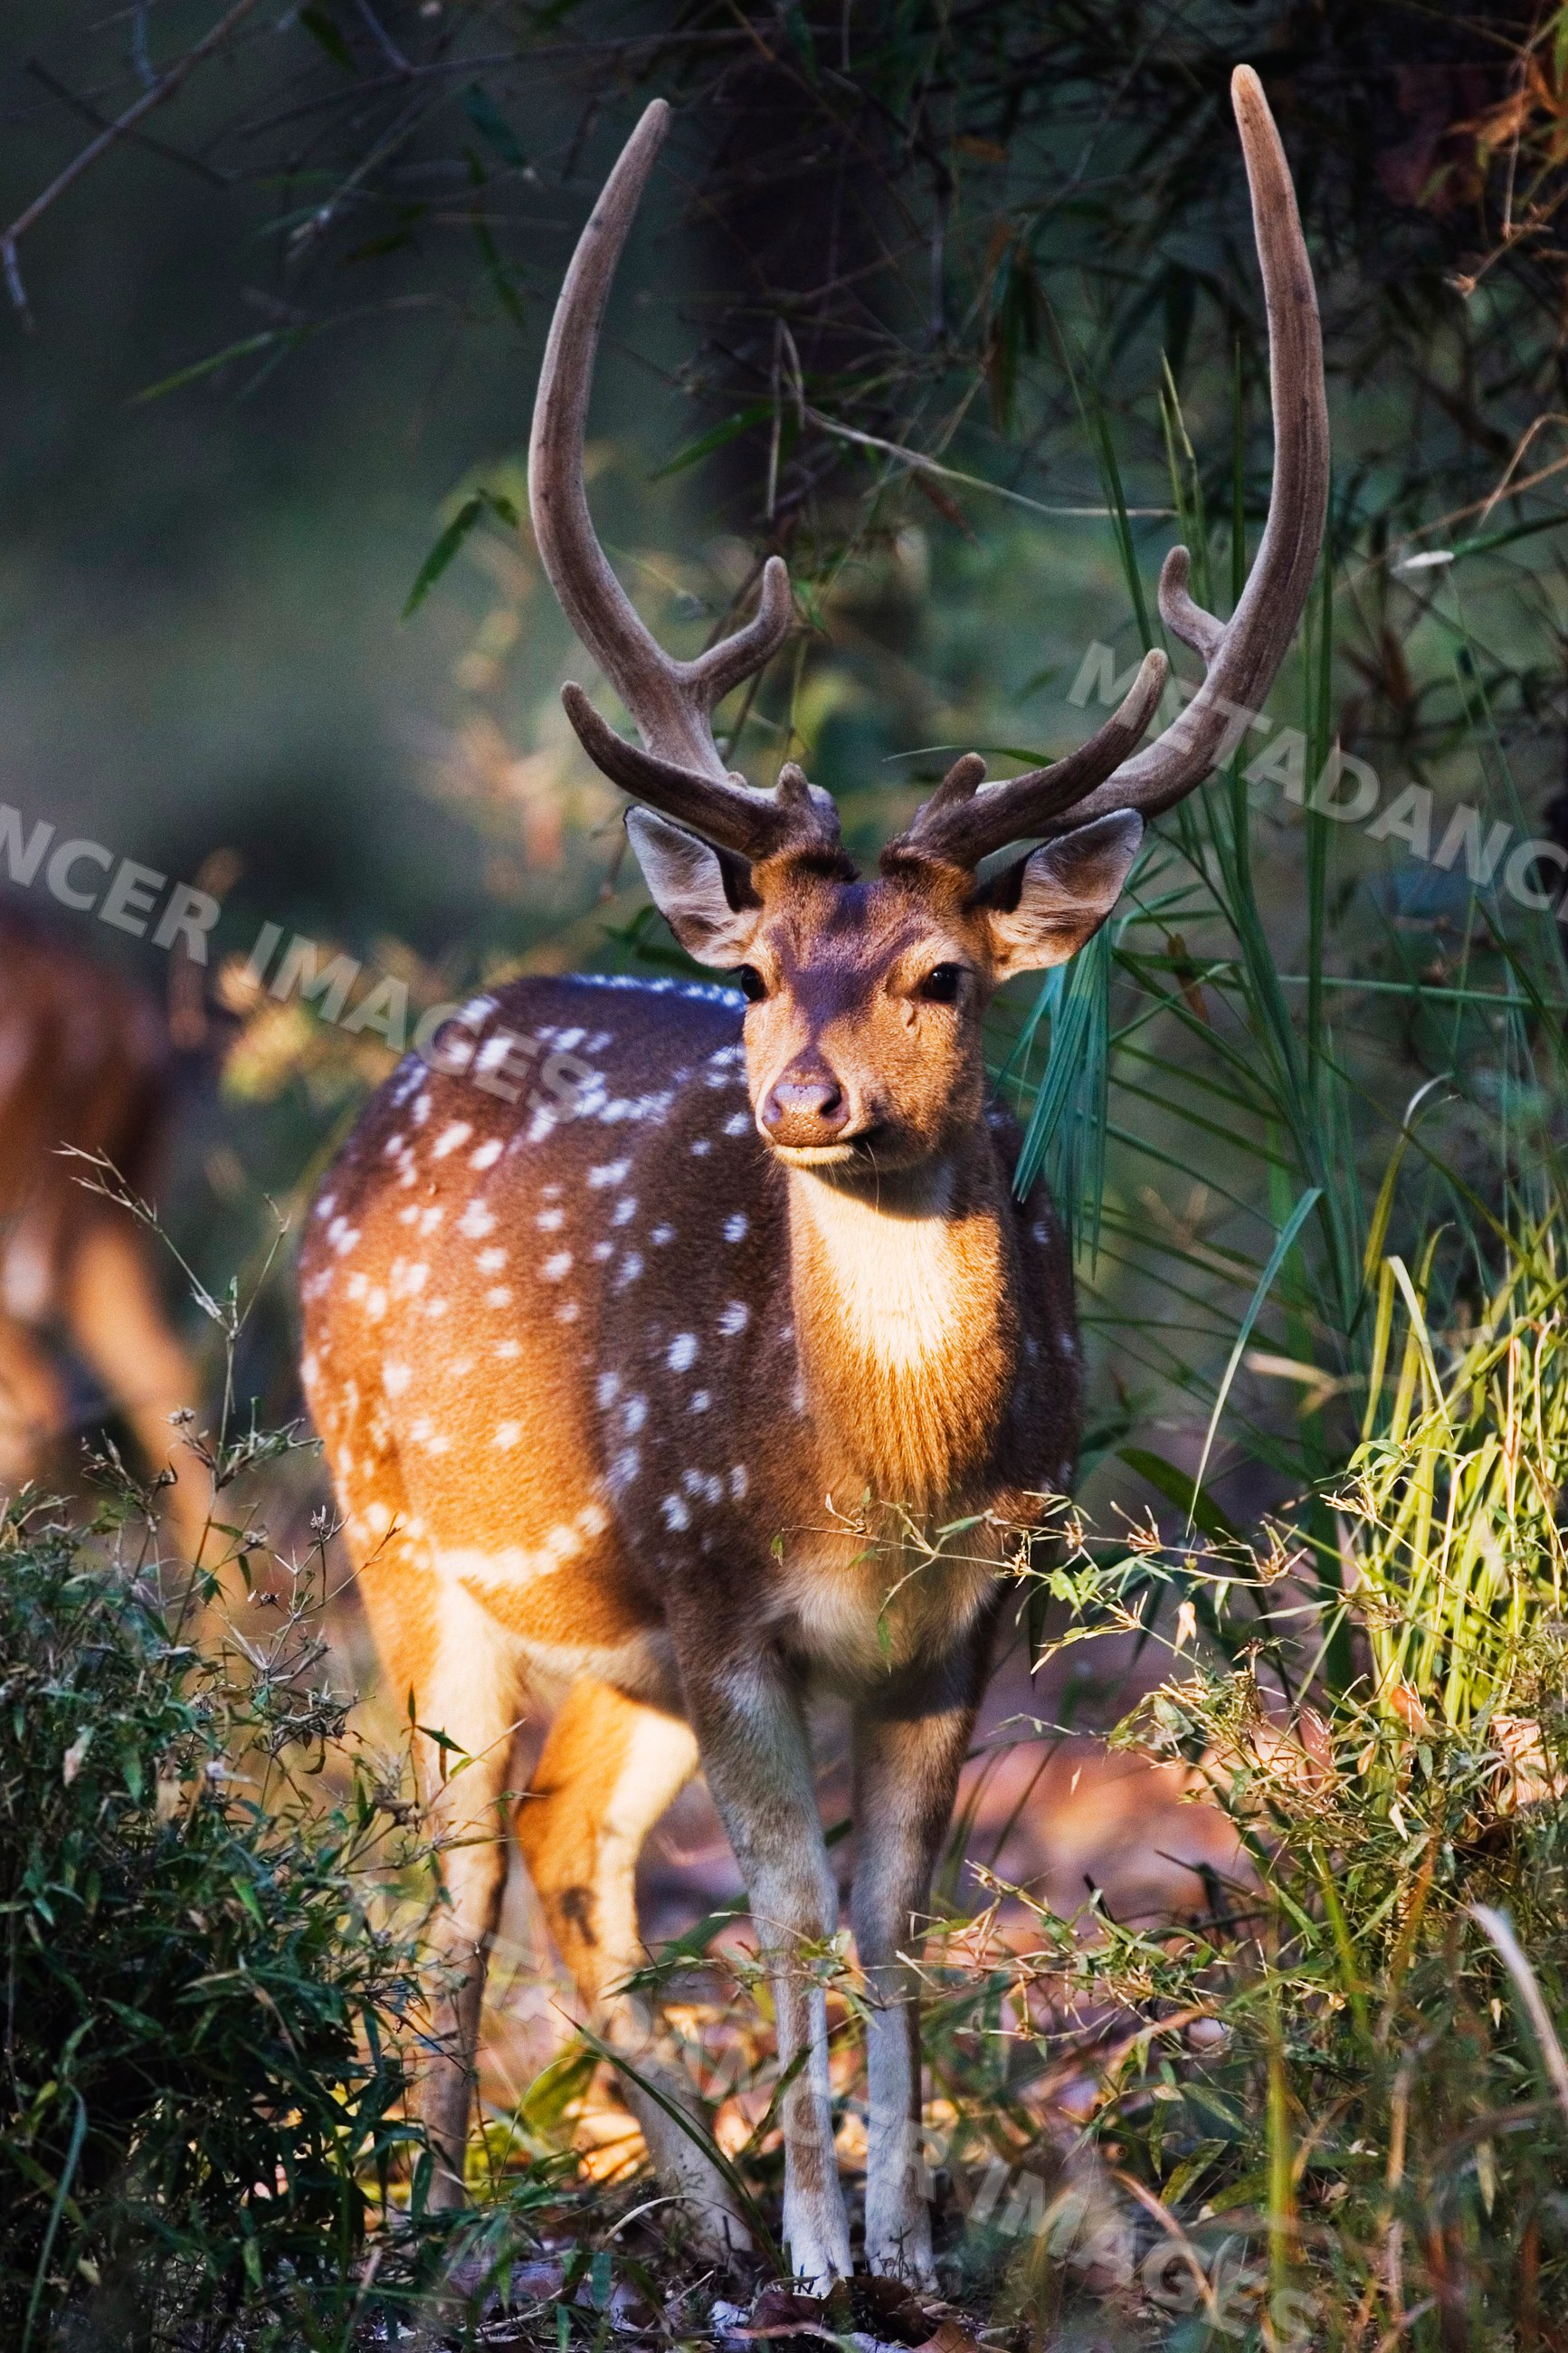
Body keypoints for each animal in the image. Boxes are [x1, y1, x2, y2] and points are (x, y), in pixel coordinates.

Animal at [298, 64, 1325, 2288]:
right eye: (762, 965)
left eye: (943, 972)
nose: (800, 1094)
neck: (874, 1482)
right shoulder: (715, 1595)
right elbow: (776, 1903)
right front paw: (825, 2245)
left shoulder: (968, 1614)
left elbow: (886, 1906)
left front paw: (908, 2237)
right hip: (402, 1530)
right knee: (458, 1869)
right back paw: (435, 2205)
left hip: (595, 1638)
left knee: (569, 1856)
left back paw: (660, 2191)